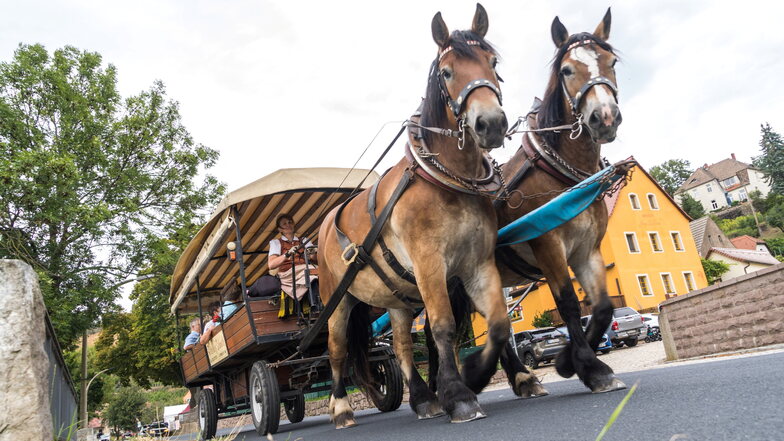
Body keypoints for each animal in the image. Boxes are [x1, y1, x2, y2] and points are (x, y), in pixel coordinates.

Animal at [316, 3, 508, 426]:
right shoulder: (429, 264)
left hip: (395, 295)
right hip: (337, 301)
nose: (491, 123)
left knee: (402, 344)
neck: (447, 180)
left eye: (493, 62)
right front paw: (459, 395)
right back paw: (341, 408)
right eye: (447, 72)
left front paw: (477, 373)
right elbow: (442, 327)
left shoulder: (478, 263)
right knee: (336, 351)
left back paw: (422, 398)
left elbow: (499, 323)